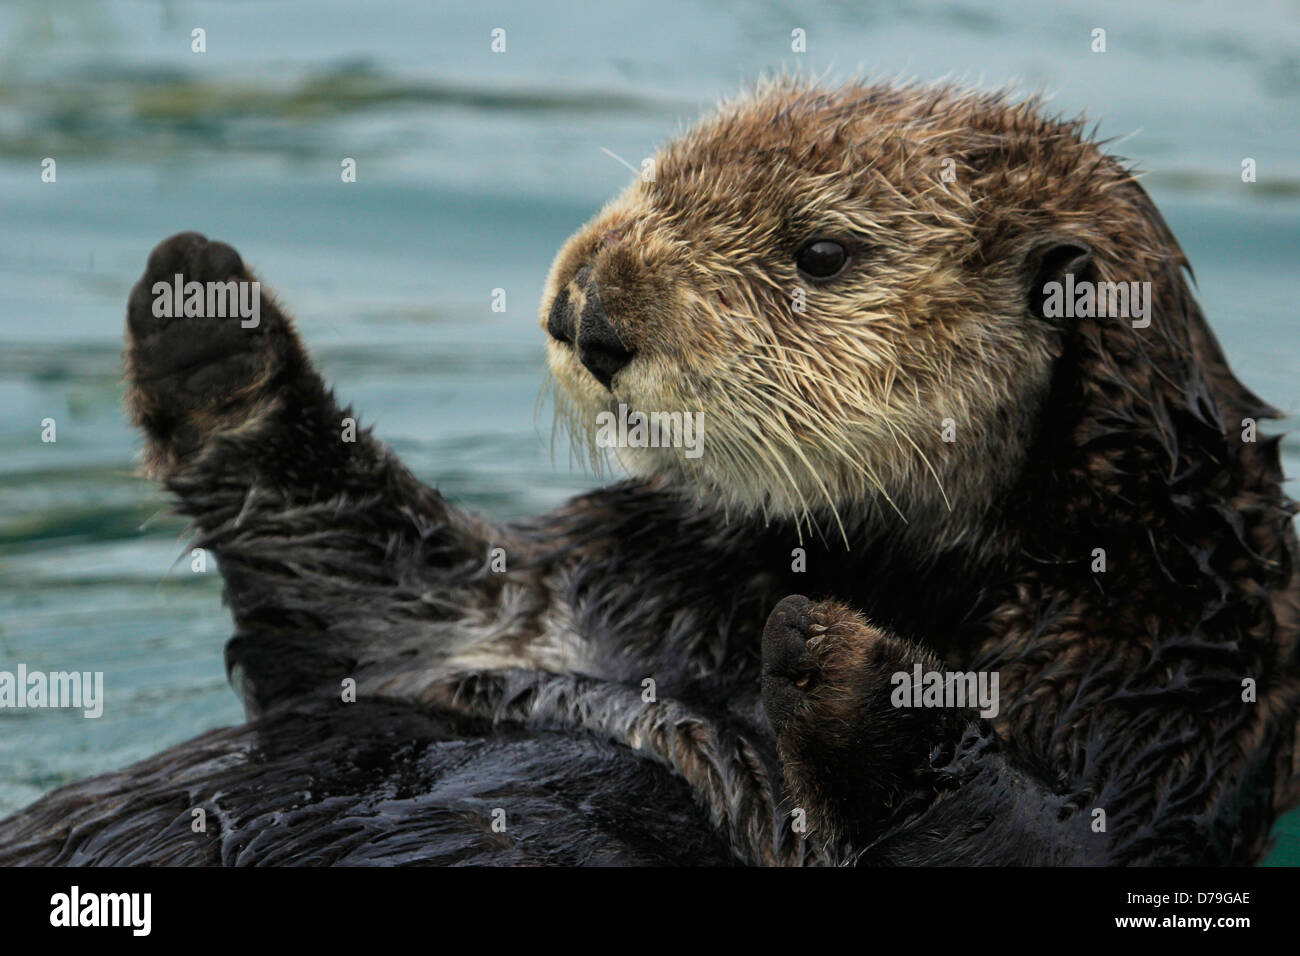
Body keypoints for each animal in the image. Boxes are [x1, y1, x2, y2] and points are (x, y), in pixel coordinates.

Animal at [2, 78, 1300, 863]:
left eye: (819, 252)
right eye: (655, 178)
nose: (588, 311)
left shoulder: (1172, 685)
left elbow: (1034, 828)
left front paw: (841, 660)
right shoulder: (555, 601)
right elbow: (361, 592)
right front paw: (204, 316)